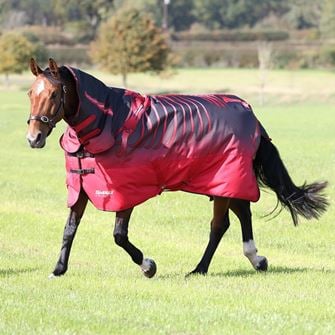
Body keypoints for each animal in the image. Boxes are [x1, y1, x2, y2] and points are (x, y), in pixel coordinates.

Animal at [26, 59, 330, 280]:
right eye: (31, 93)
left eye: (54, 93)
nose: (34, 138)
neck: (108, 123)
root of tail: (249, 112)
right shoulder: (82, 188)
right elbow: (69, 229)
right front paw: (58, 269)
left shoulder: (125, 191)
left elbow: (119, 235)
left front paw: (148, 265)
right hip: (223, 182)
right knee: (242, 211)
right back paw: (256, 259)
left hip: (224, 179)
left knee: (219, 225)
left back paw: (200, 268)